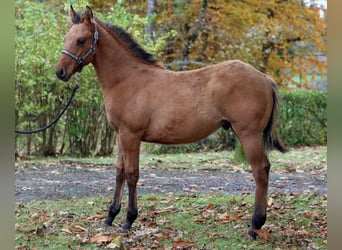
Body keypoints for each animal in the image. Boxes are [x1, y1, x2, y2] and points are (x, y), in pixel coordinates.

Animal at [55, 5, 286, 239]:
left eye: (81, 40)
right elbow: (119, 172)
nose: (60, 72)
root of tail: (265, 79)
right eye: (66, 38)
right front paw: (110, 216)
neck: (128, 80)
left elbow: (132, 174)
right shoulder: (120, 135)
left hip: (249, 135)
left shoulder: (131, 135)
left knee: (260, 170)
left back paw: (255, 226)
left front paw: (129, 219)